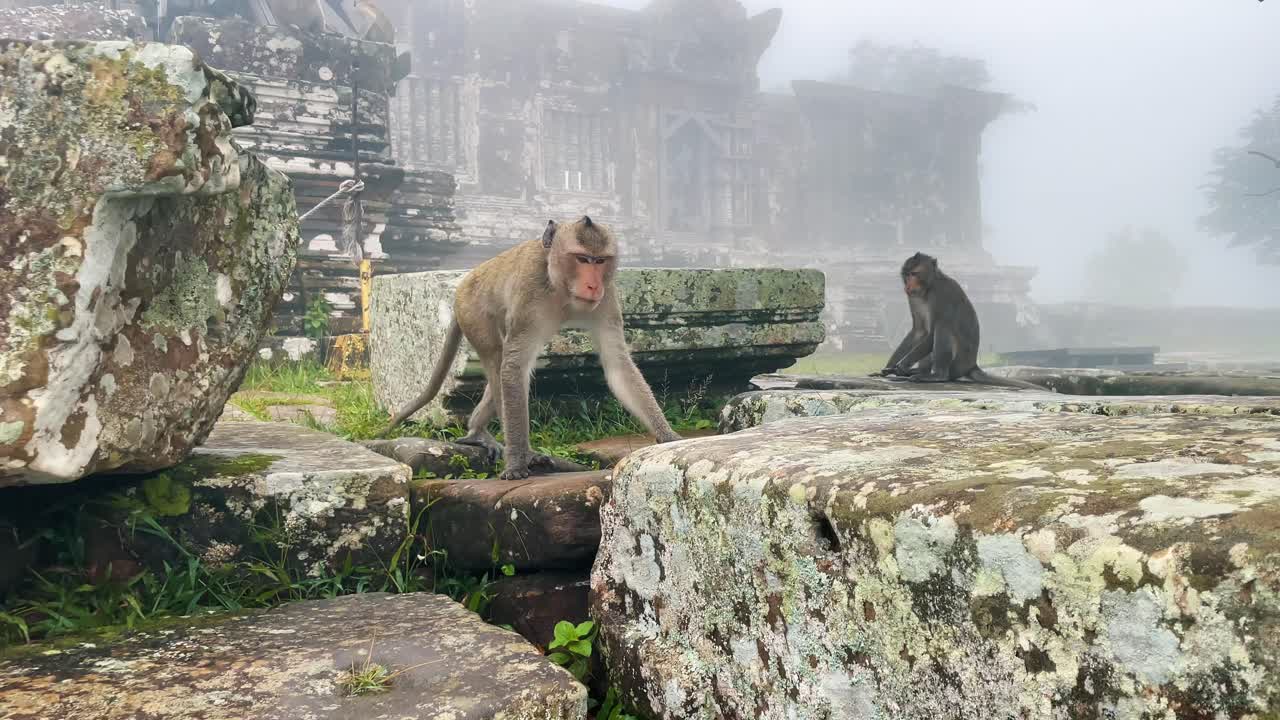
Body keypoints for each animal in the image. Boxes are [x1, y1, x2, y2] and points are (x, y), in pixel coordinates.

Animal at [381, 216, 683, 480]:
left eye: (600, 261)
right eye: (582, 259)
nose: (593, 285)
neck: (561, 287)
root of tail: (460, 287)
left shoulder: (606, 299)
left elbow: (618, 365)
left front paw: (667, 436)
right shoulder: (529, 296)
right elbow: (514, 368)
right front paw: (516, 462)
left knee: (500, 373)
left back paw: (477, 429)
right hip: (474, 314)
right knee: (499, 363)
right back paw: (510, 446)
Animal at [870, 252, 1043, 390]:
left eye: (914, 273)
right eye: (906, 274)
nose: (908, 285)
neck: (928, 288)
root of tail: (971, 364)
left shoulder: (941, 294)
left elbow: (931, 333)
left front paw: (901, 366)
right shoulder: (913, 298)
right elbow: (919, 331)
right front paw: (889, 368)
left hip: (959, 361)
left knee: (943, 326)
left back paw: (936, 375)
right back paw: (918, 372)